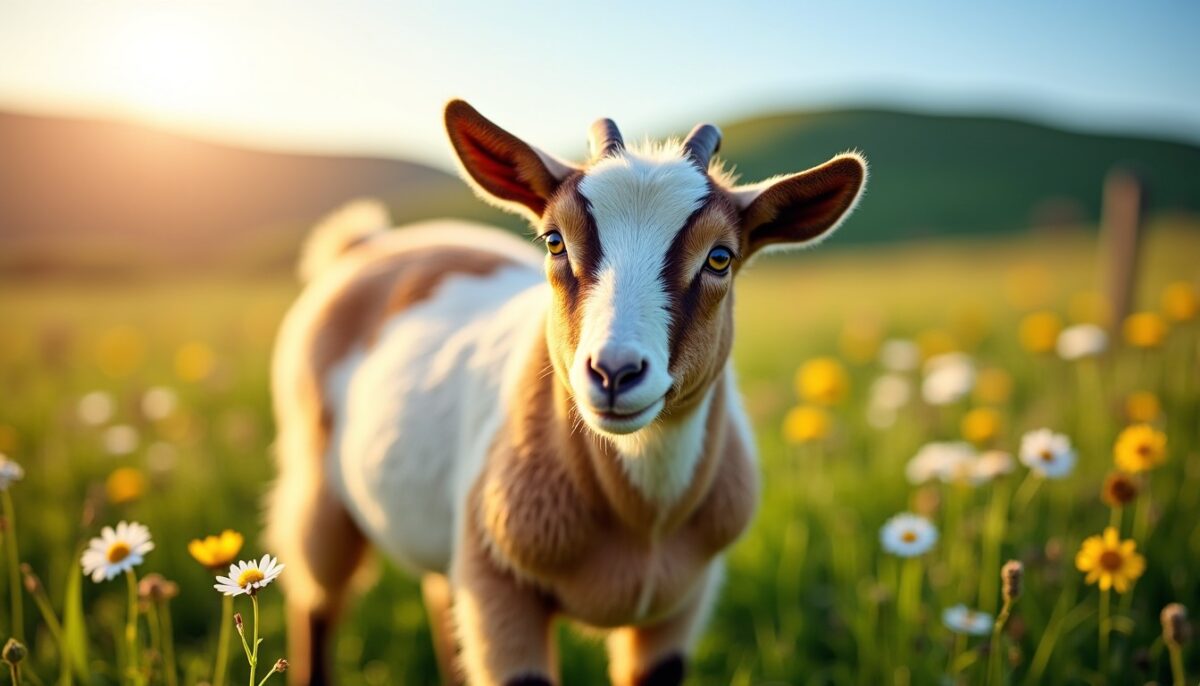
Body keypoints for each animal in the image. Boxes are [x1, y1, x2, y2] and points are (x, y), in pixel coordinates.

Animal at [268, 99, 867, 686]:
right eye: (555, 241)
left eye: (720, 257)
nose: (615, 373)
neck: (641, 523)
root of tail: (367, 245)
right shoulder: (497, 591)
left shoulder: (681, 604)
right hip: (317, 487)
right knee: (315, 598)